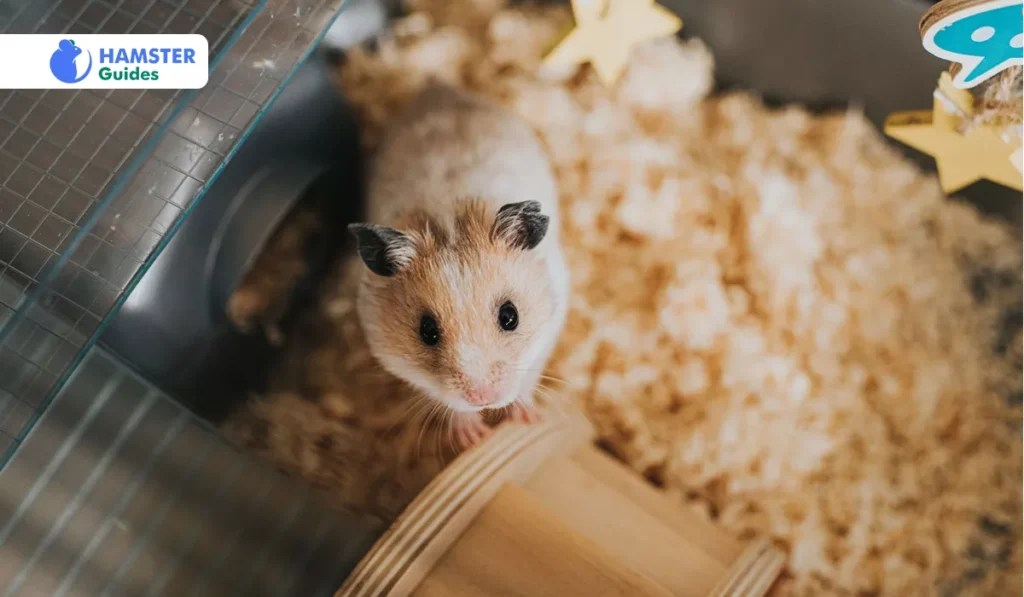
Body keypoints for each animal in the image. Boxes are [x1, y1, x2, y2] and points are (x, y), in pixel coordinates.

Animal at [348, 83, 569, 450]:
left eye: (510, 316)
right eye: (427, 331)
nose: (483, 399)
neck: (448, 223)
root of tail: (437, 88)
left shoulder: (551, 324)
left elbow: (527, 380)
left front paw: (526, 419)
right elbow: (446, 401)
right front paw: (473, 438)